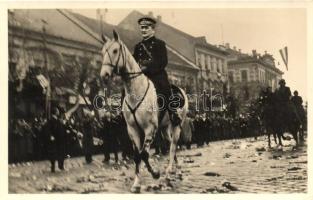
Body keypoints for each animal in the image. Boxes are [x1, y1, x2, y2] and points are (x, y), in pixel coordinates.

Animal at [100, 30, 188, 193]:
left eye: (115, 50)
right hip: (164, 127)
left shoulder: (149, 129)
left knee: (173, 146)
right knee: (169, 145)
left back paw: (169, 172)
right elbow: (138, 155)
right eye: (103, 52)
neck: (136, 90)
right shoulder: (133, 130)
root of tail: (180, 89)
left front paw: (155, 173)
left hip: (177, 125)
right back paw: (175, 170)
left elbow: (145, 154)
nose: (104, 75)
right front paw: (136, 184)